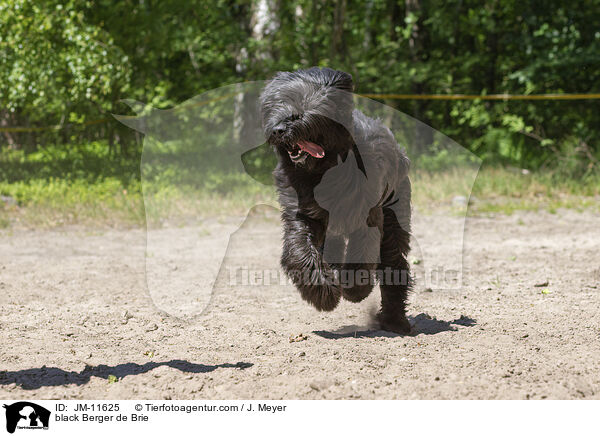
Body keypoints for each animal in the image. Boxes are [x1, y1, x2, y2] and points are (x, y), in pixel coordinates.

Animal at [258, 67, 412, 334]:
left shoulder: (368, 216)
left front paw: (354, 289)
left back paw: (395, 320)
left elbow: (363, 253)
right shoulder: (302, 214)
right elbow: (299, 251)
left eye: (304, 101)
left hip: (394, 216)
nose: (278, 129)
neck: (323, 172)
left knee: (394, 262)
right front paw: (323, 292)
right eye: (275, 103)